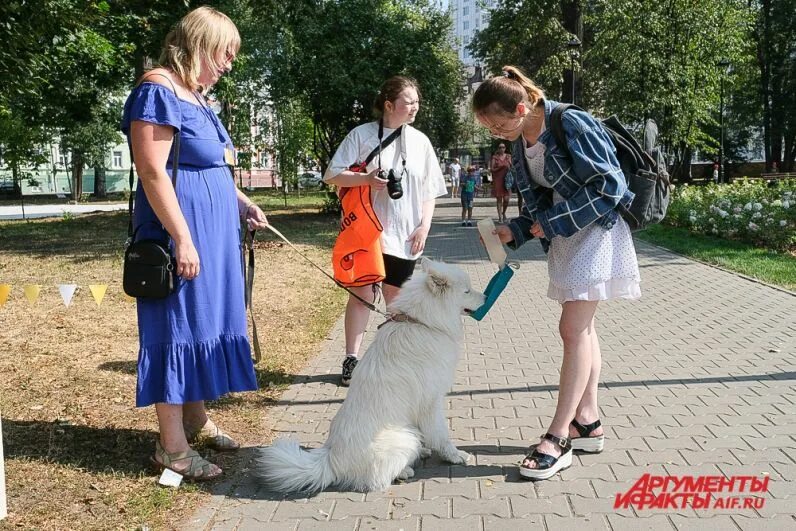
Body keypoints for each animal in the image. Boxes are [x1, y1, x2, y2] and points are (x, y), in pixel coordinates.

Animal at [258, 258, 488, 494]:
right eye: (467, 291)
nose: (486, 297)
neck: (420, 322)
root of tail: (331, 460)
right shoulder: (431, 402)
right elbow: (441, 434)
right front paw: (456, 456)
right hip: (404, 436)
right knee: (377, 478)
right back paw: (405, 470)